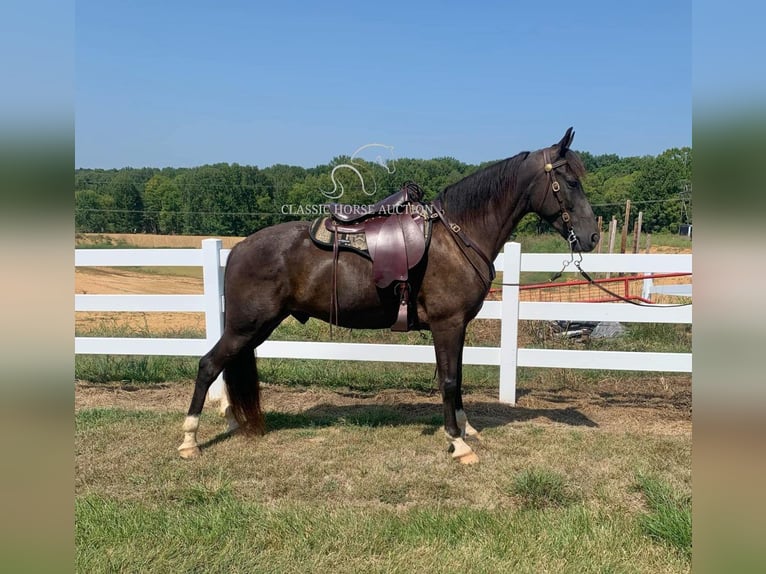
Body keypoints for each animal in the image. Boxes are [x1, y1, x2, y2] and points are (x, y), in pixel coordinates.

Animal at [180, 129, 600, 464]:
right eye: (569, 181)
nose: (592, 237)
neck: (457, 236)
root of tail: (238, 248)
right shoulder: (447, 325)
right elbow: (450, 380)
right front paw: (458, 443)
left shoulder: (457, 327)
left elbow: (458, 377)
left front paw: (465, 428)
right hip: (246, 327)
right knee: (208, 365)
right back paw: (190, 440)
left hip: (256, 328)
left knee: (226, 367)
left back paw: (232, 423)